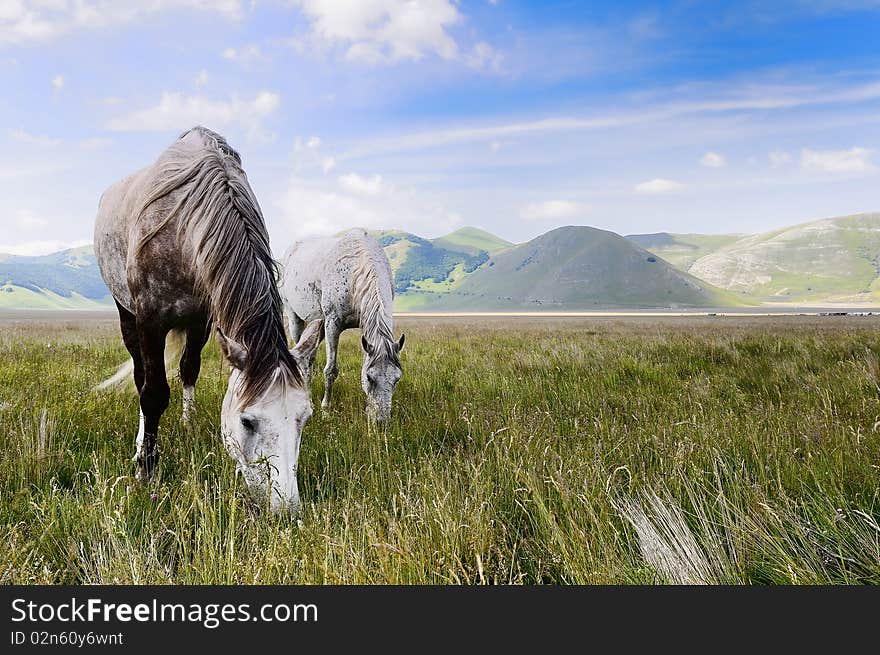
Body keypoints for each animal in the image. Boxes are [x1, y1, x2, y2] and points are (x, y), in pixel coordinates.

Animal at [92, 124, 324, 512]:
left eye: (303, 418)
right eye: (247, 422)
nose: (286, 510)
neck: (184, 230)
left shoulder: (203, 318)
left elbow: (189, 369)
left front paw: (187, 427)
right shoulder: (150, 319)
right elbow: (153, 393)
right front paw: (146, 470)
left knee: (187, 368)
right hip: (127, 315)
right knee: (141, 376)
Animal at [280, 228, 408, 422]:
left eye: (397, 379)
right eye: (370, 378)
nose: (381, 422)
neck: (355, 269)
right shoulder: (332, 324)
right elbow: (331, 370)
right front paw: (325, 411)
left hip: (317, 325)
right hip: (295, 318)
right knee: (303, 360)